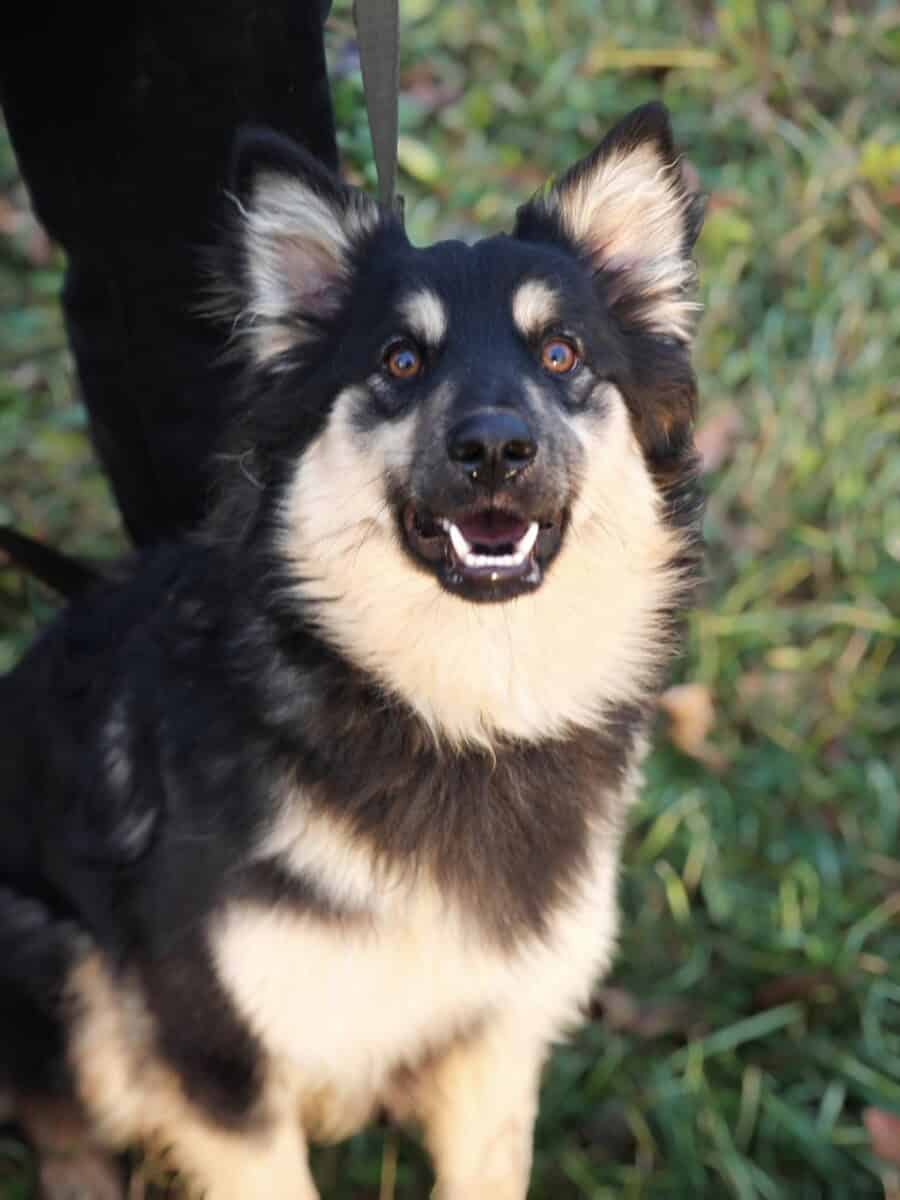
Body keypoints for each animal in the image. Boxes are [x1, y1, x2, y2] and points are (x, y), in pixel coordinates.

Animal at [0, 101, 704, 1198]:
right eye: (400, 362)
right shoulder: (215, 1054)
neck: (454, 715)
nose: (494, 450)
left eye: (562, 355)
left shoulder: (494, 1042)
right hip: (58, 960)